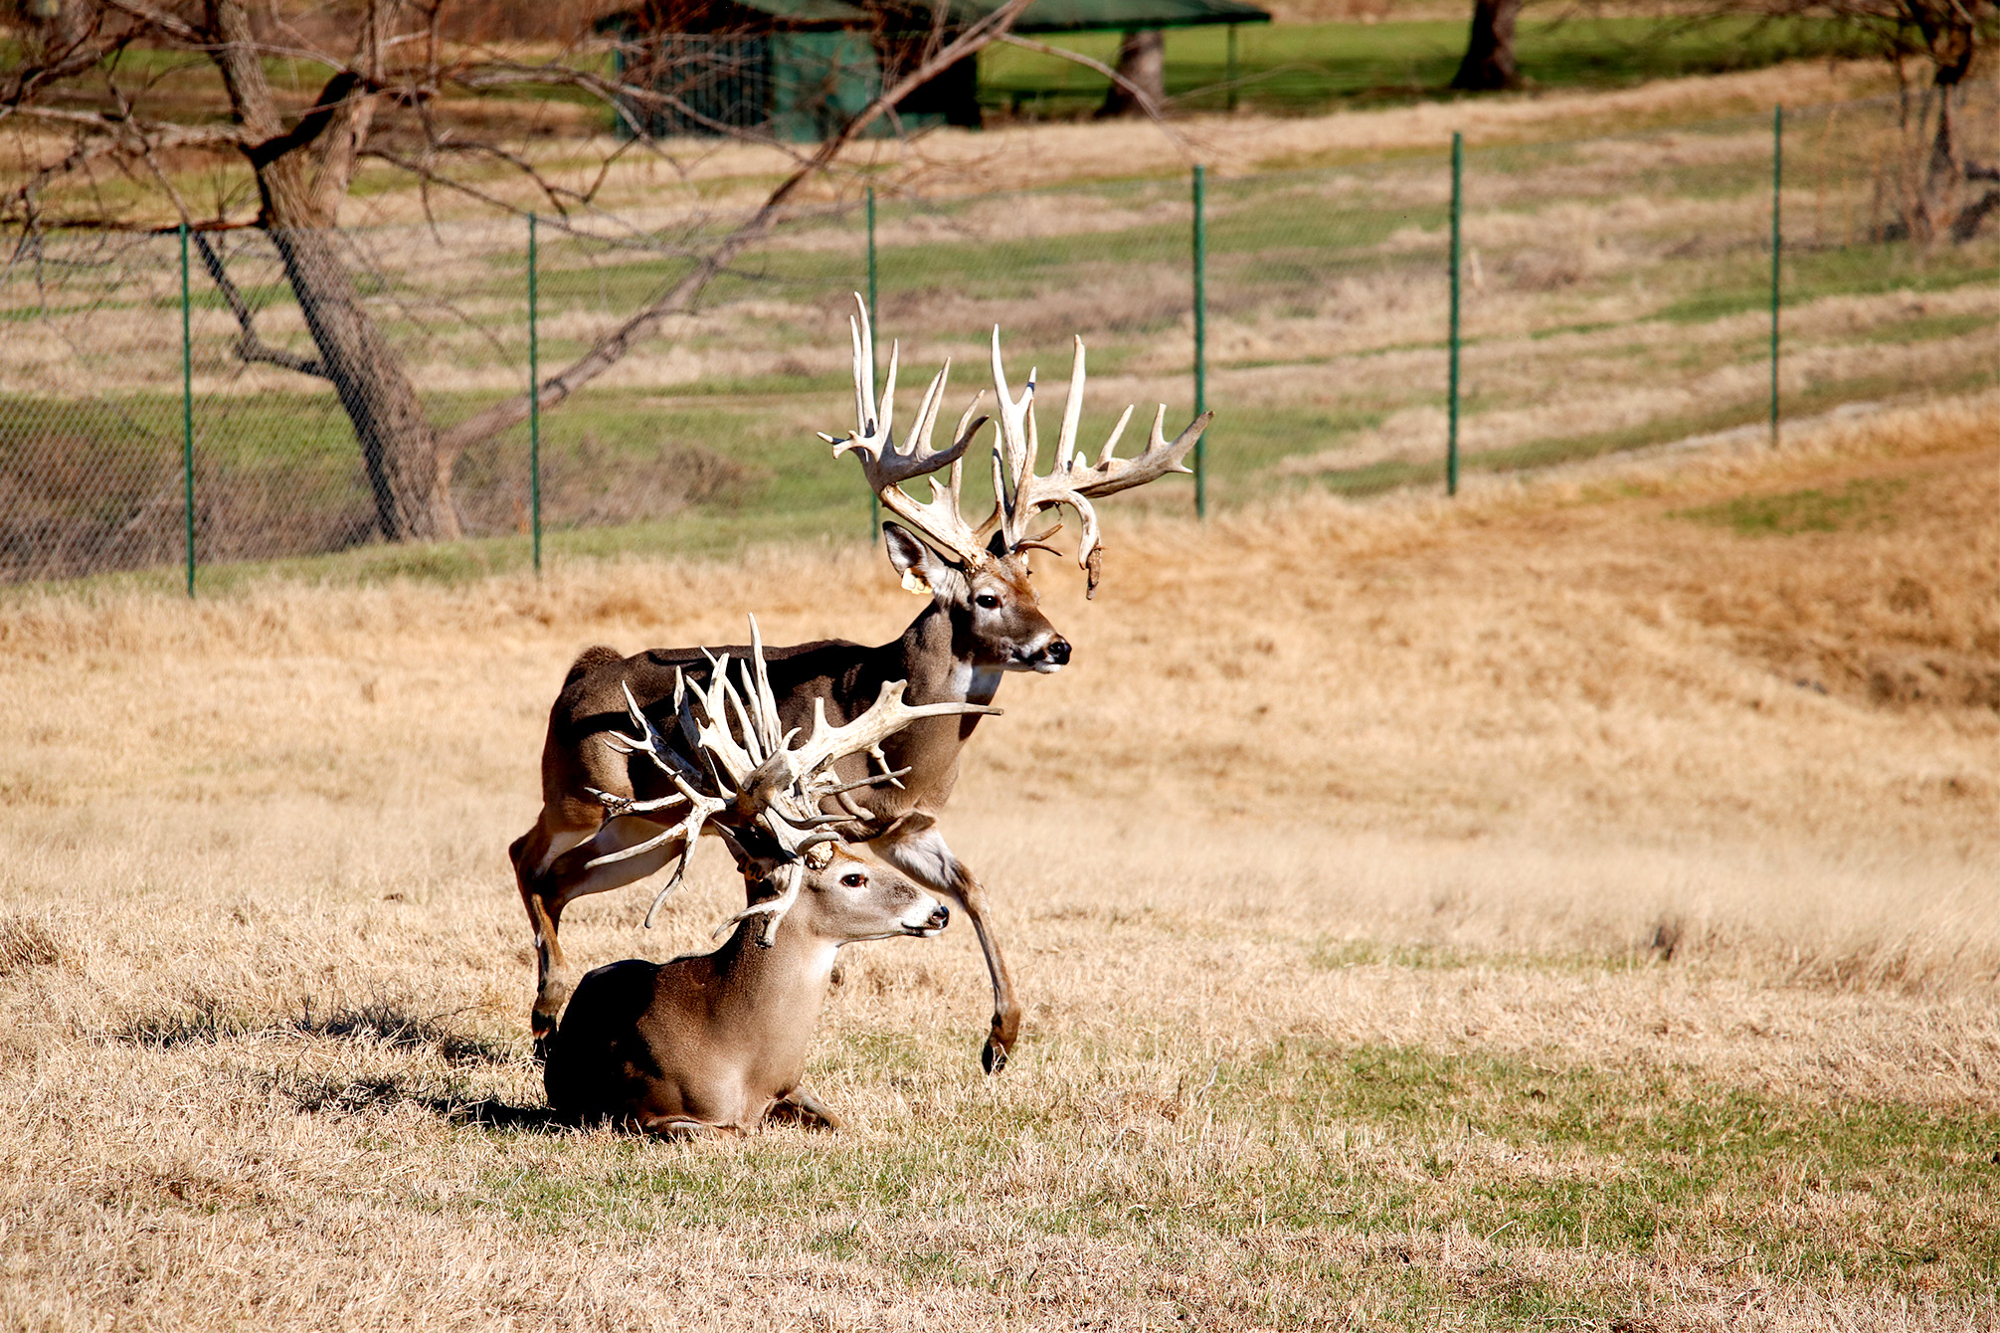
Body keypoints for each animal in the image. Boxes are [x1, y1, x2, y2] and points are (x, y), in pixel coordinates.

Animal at [510, 295, 1211, 1072]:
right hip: (589, 797)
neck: (899, 740)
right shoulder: (798, 819)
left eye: (1035, 585)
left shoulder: (910, 826)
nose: (1056, 645)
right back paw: (547, 1004)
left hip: (648, 829)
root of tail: (583, 671)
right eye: (986, 598)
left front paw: (1001, 1037)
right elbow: (780, 894)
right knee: (526, 854)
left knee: (554, 879)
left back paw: (547, 1019)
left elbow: (973, 887)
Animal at [543, 621, 989, 1136]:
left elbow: (837, 1120)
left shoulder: (795, 1086)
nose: (938, 911)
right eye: (853, 878)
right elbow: (717, 1134)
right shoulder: (650, 1113)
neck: (740, 1050)